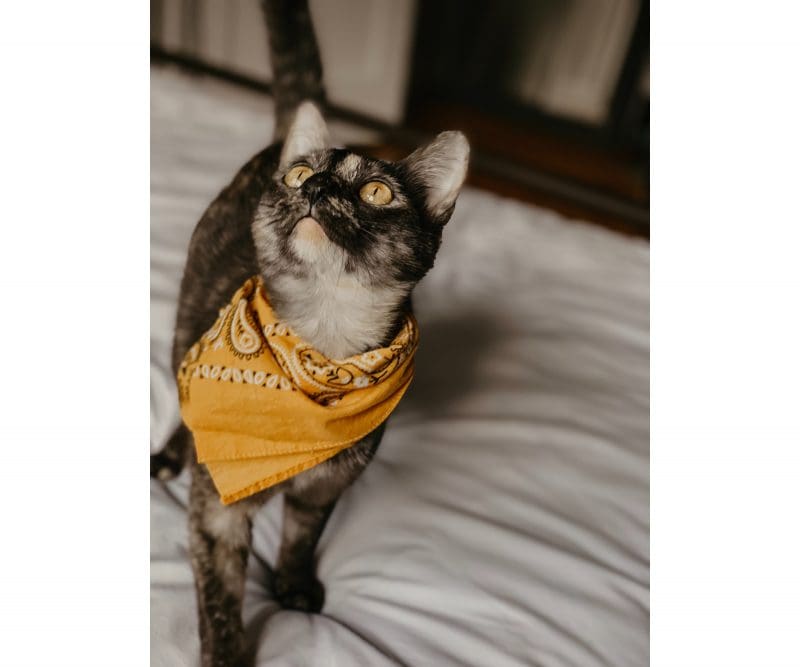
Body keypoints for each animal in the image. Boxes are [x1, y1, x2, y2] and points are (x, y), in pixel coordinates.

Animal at [150, 2, 468, 664]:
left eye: (376, 191)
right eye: (300, 177)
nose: (316, 186)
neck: (323, 345)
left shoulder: (327, 487)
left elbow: (301, 535)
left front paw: (294, 585)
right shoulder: (215, 513)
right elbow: (219, 601)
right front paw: (226, 652)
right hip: (186, 322)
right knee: (183, 392)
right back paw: (170, 452)